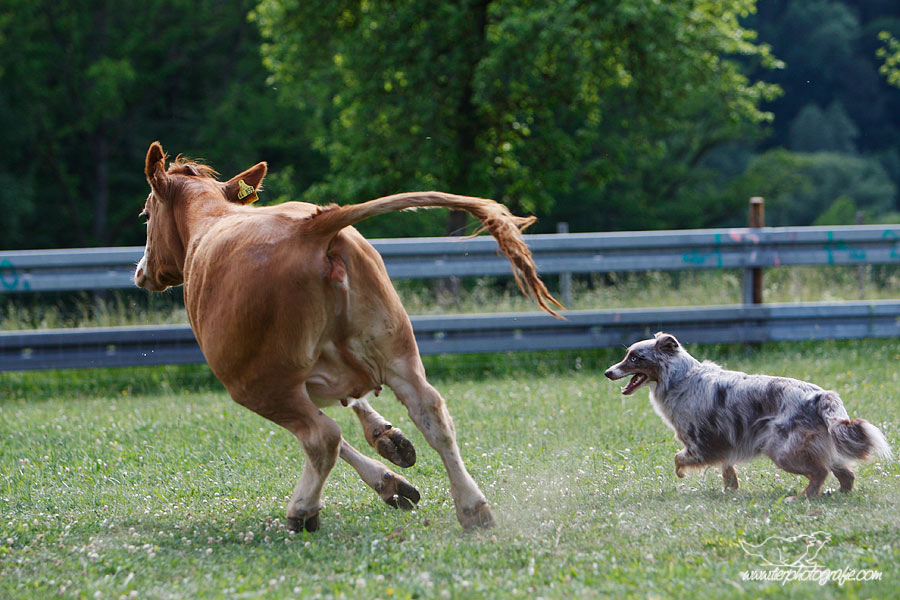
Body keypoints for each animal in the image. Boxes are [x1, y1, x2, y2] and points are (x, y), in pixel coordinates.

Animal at [134, 141, 564, 528]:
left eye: (146, 213)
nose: (140, 271)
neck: (209, 221)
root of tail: (312, 228)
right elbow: (358, 408)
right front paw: (390, 445)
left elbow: (334, 432)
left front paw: (388, 475)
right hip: (396, 351)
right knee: (432, 414)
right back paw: (473, 507)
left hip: (256, 382)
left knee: (321, 435)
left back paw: (302, 510)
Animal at [604, 332, 892, 496]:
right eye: (627, 355)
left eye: (634, 358)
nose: (607, 372)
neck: (679, 377)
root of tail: (821, 396)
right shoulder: (723, 440)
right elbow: (726, 466)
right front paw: (730, 489)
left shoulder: (699, 441)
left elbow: (679, 457)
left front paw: (682, 473)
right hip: (818, 445)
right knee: (845, 474)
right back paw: (837, 493)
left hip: (782, 449)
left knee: (819, 472)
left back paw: (801, 497)